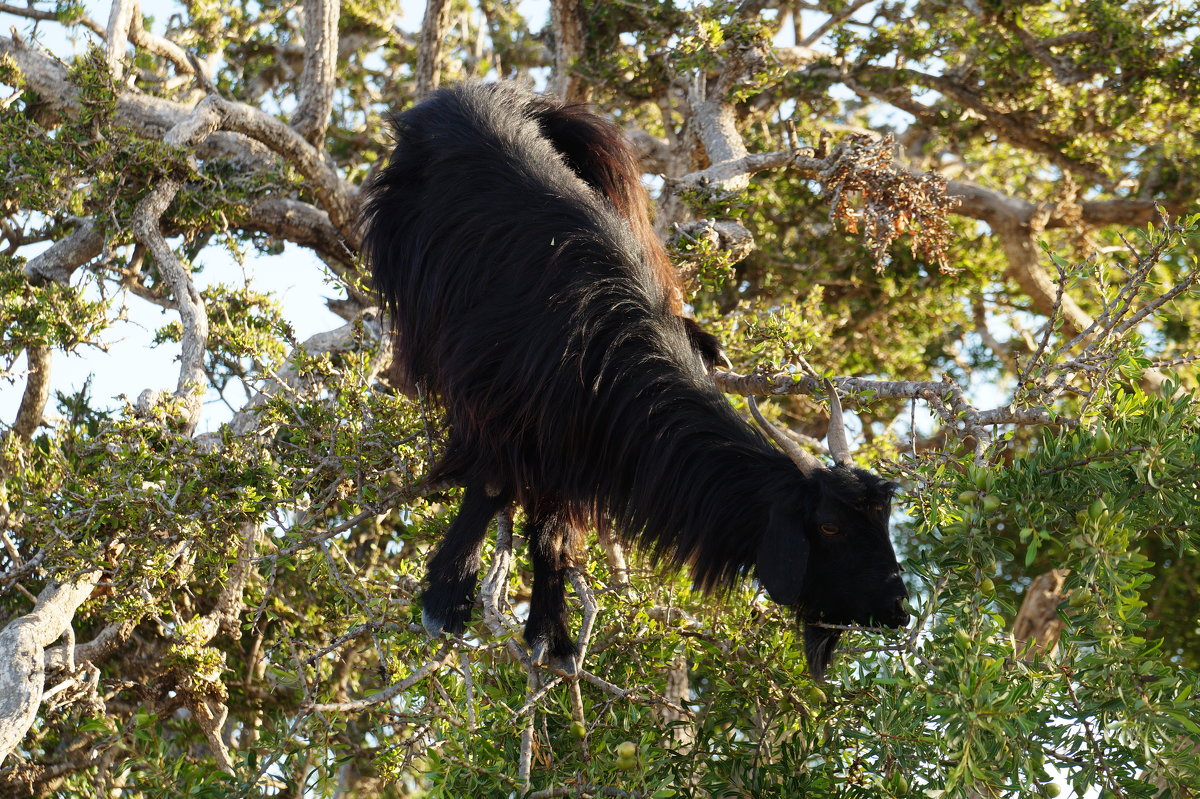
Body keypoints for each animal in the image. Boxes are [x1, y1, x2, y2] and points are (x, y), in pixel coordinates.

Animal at [364, 82, 907, 676]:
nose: (898, 609)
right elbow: (490, 486)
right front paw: (448, 600)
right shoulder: (500, 408)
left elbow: (553, 534)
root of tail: (468, 94)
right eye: (830, 525)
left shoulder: (572, 449)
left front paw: (551, 635)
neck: (600, 358)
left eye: (883, 519)